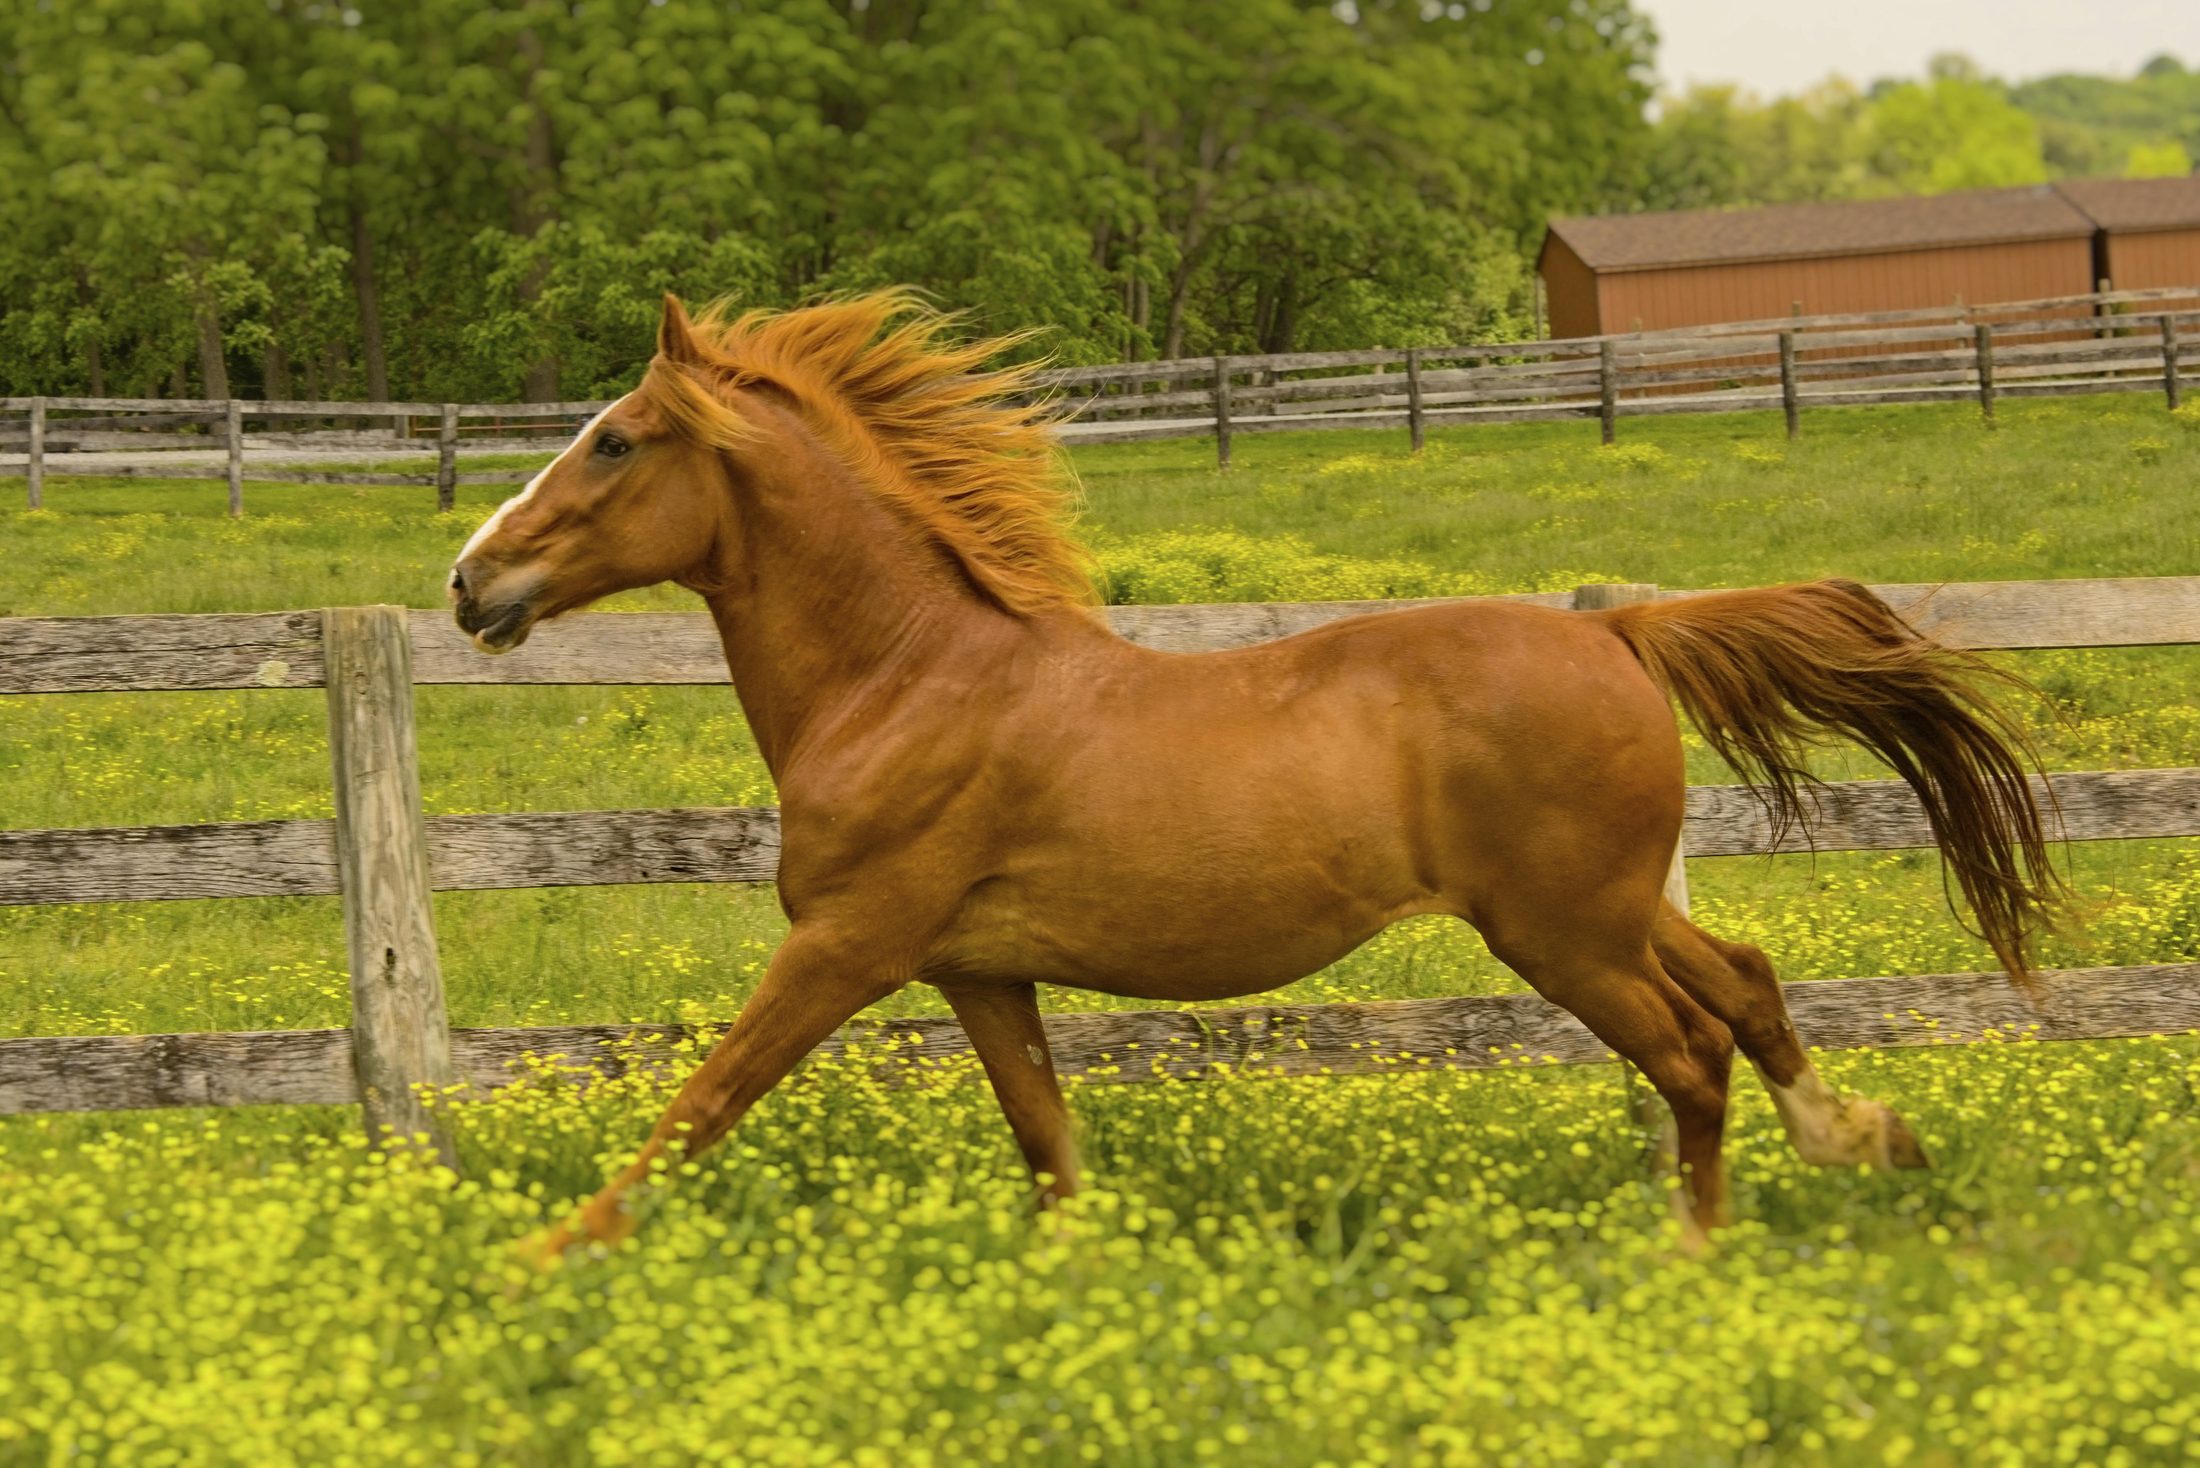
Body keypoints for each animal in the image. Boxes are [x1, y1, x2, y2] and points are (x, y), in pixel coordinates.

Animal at [449, 293, 2066, 1260]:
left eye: (615, 440)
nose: (470, 582)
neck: (907, 679)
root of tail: (1615, 630)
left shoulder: (847, 945)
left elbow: (699, 1100)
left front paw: (536, 1259)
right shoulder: (979, 969)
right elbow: (1049, 1145)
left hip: (1560, 933)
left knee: (1690, 1054)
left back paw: (1696, 1256)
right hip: (1606, 910)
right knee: (1746, 982)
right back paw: (1864, 1140)